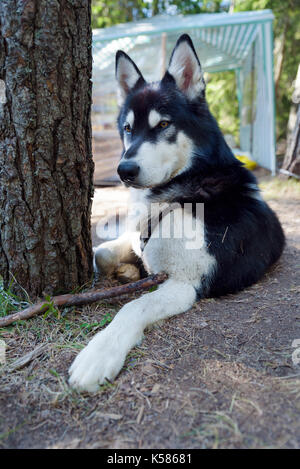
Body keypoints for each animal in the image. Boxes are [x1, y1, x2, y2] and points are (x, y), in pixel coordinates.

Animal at [69, 33, 284, 392]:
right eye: (128, 128)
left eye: (164, 124)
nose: (125, 170)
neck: (185, 188)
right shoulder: (137, 239)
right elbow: (102, 254)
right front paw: (127, 271)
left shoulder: (185, 283)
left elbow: (133, 306)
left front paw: (100, 353)